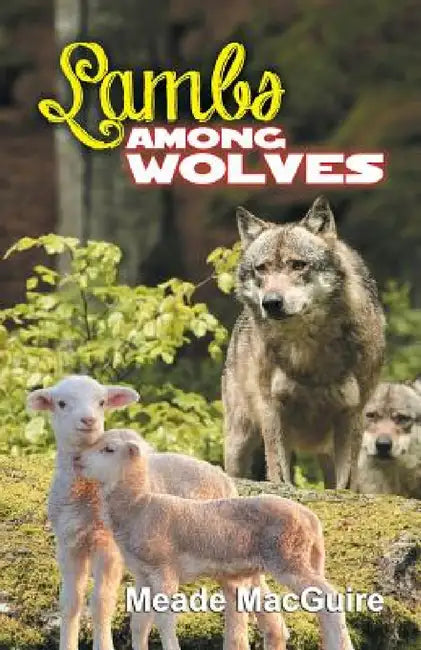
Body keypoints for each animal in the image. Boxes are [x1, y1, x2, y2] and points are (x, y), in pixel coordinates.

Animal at [28, 376, 288, 650]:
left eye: (101, 402)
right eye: (61, 403)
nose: (89, 421)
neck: (86, 496)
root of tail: (224, 478)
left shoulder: (109, 547)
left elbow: (101, 603)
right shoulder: (68, 543)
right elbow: (70, 603)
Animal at [75, 429, 355, 650]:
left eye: (109, 449)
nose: (76, 460)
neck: (139, 506)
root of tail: (311, 519)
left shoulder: (165, 571)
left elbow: (165, 620)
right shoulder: (143, 575)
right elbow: (139, 622)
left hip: (289, 558)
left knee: (330, 599)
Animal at [223, 196, 385, 489]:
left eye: (298, 265)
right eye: (262, 268)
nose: (271, 302)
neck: (308, 351)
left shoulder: (351, 413)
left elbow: (345, 483)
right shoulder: (272, 409)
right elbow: (279, 473)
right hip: (239, 439)